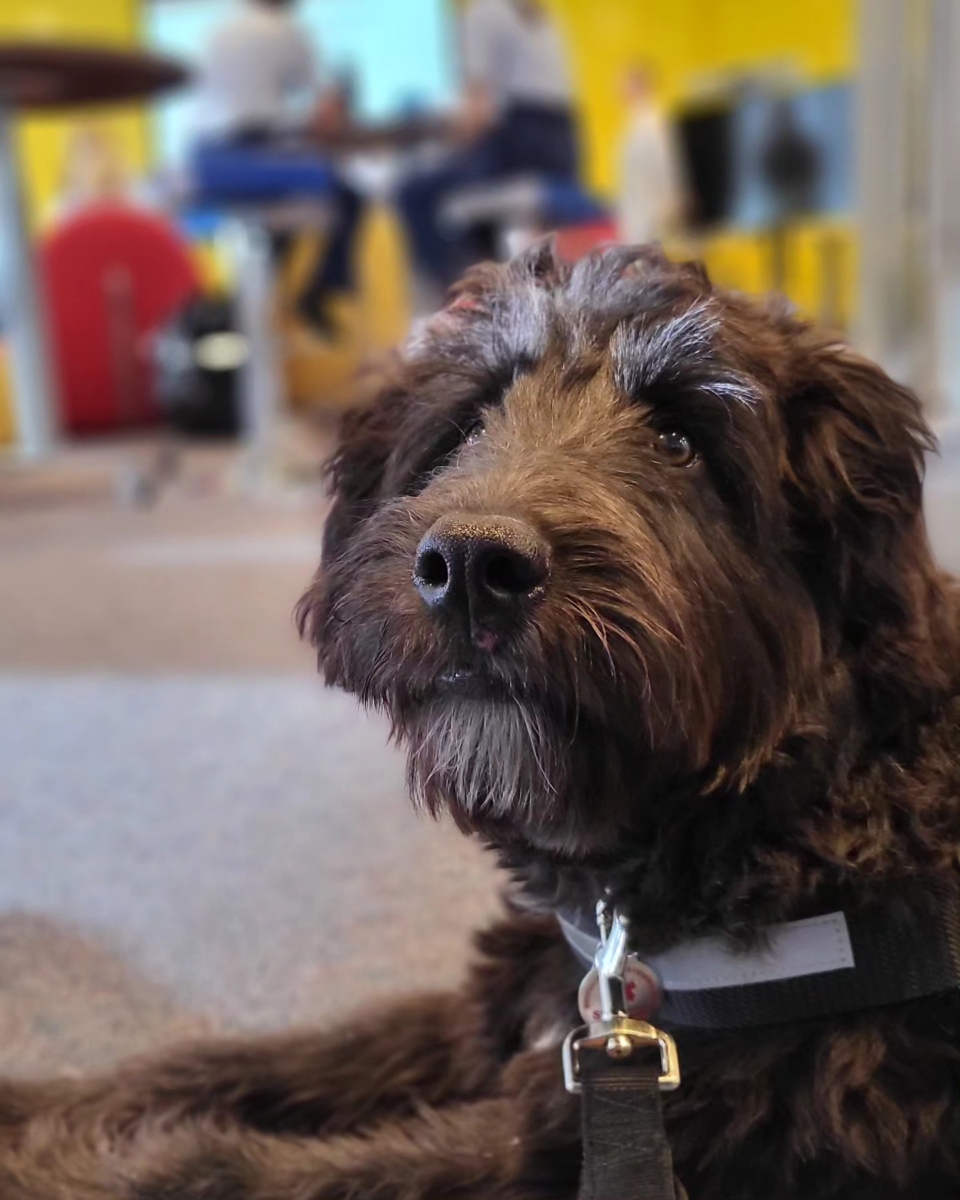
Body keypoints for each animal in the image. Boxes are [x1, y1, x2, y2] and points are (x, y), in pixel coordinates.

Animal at [1, 243, 960, 1200]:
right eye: (467, 425)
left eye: (680, 440)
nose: (467, 565)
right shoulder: (519, 1009)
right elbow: (291, 1053)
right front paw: (51, 1109)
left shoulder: (587, 1145)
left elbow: (238, 1170)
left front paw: (72, 1169)